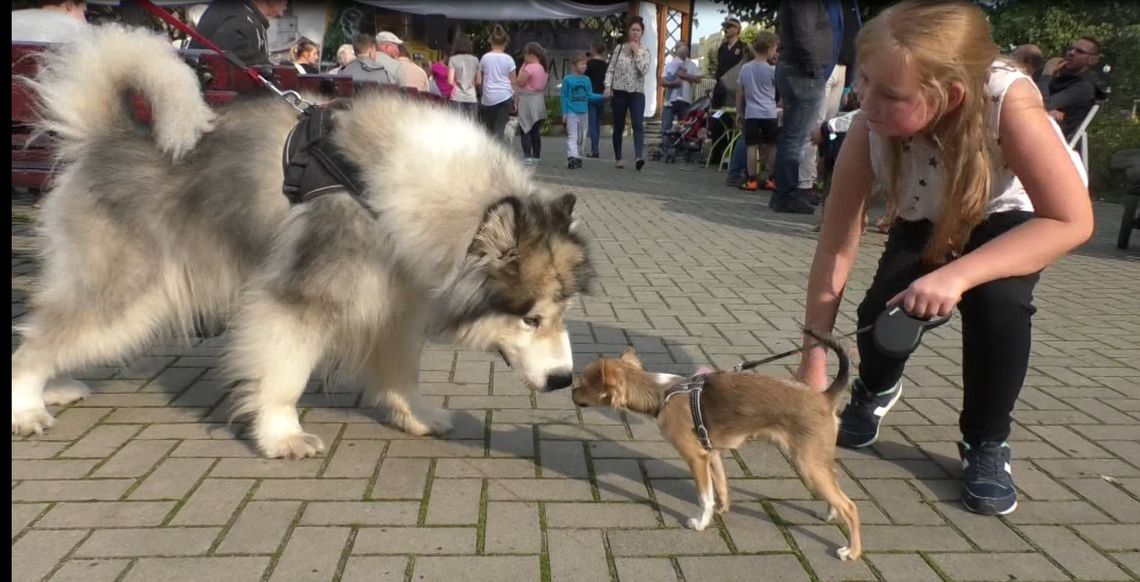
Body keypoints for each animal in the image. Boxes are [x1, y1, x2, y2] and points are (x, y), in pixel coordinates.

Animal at [13, 27, 592, 457]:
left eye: (562, 312)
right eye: (530, 318)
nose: (564, 380)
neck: (384, 195)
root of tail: (107, 135)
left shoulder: (395, 304)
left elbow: (401, 371)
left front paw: (416, 415)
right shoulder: (296, 302)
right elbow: (284, 373)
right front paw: (280, 435)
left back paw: (55, 387)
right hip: (129, 298)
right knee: (39, 340)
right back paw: (27, 405)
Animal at [574, 328, 857, 560]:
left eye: (584, 384)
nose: (571, 392)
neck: (662, 395)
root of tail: (824, 397)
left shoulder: (695, 458)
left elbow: (704, 496)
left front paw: (701, 523)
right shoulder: (712, 454)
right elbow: (720, 486)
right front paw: (722, 509)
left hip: (807, 464)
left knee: (850, 507)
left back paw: (852, 551)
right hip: (817, 461)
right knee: (835, 490)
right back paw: (829, 514)